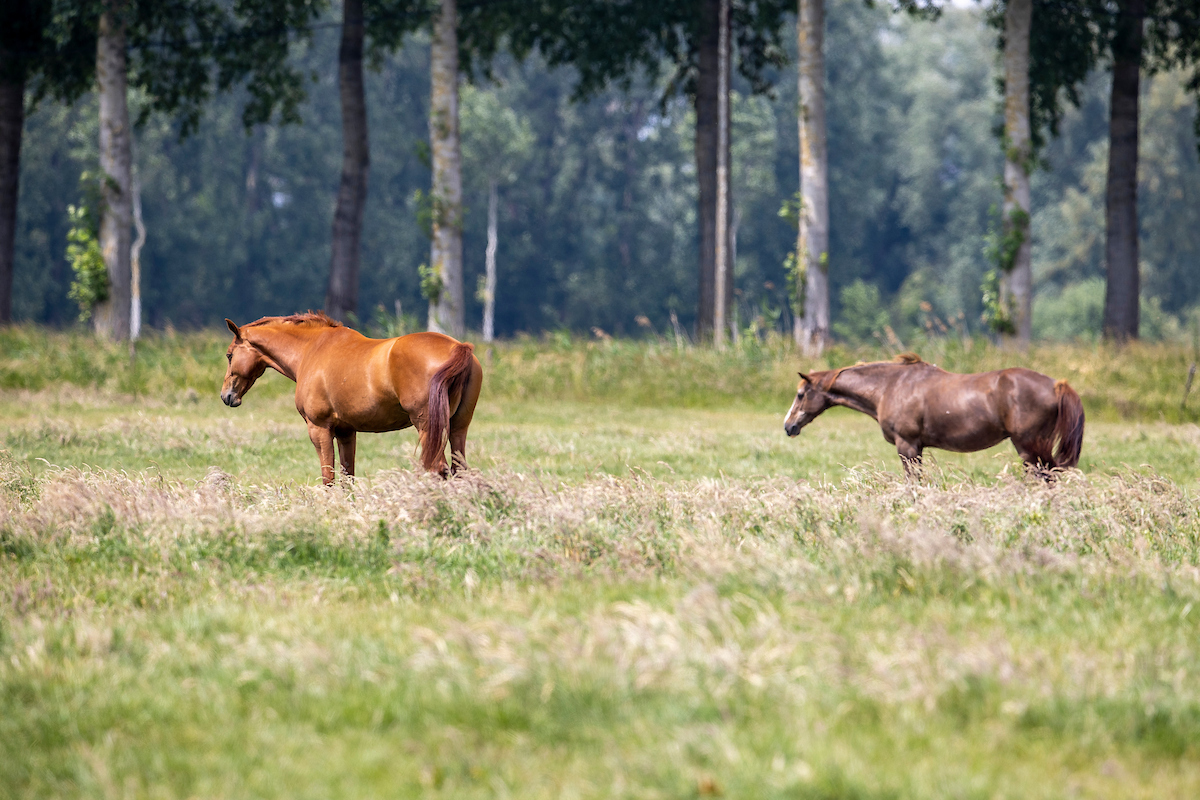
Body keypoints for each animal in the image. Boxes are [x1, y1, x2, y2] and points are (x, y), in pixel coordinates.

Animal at [220, 312, 483, 484]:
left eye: (229, 355)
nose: (226, 396)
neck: (312, 349)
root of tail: (459, 348)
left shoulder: (319, 429)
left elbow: (328, 478)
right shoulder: (346, 431)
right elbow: (348, 478)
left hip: (428, 427)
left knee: (438, 469)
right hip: (458, 427)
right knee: (459, 469)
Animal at [783, 353, 1084, 476]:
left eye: (800, 395)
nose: (788, 426)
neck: (890, 385)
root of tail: (1056, 385)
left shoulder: (907, 446)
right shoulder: (916, 448)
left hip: (1029, 448)